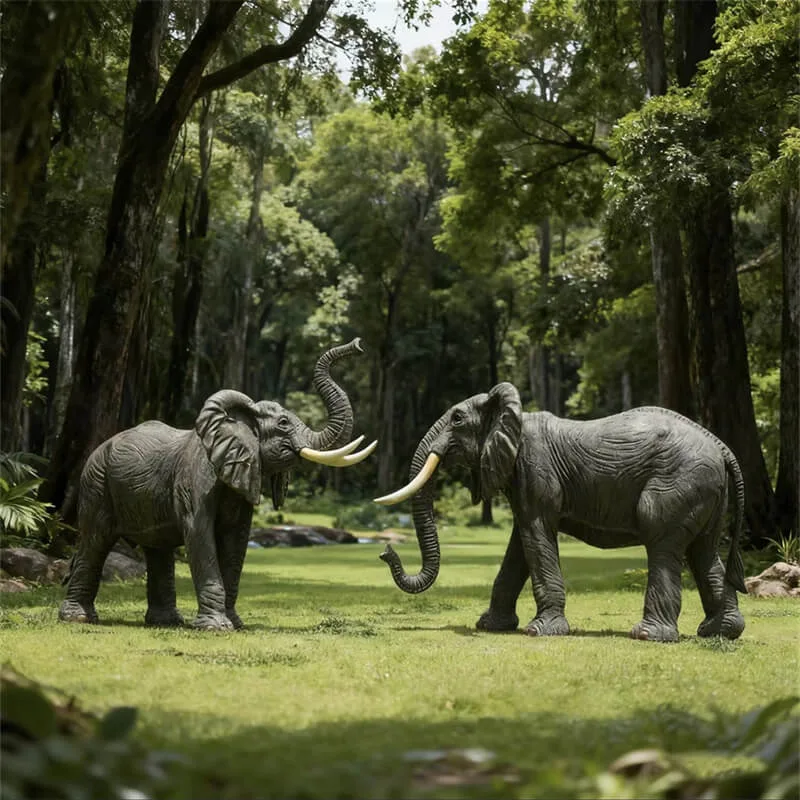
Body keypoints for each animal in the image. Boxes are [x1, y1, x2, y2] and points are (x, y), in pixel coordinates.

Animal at [59, 338, 376, 631]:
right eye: (284, 423)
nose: (358, 345)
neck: (237, 421)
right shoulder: (197, 478)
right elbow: (200, 533)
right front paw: (216, 628)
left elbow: (236, 539)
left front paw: (235, 624)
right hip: (96, 484)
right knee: (95, 541)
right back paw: (78, 619)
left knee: (157, 548)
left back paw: (166, 623)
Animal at [375, 382, 746, 643]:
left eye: (456, 419)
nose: (386, 551)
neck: (514, 414)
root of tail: (722, 448)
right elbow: (518, 546)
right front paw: (490, 626)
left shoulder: (535, 469)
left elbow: (534, 536)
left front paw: (538, 631)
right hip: (704, 491)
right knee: (705, 552)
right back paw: (719, 632)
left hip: (678, 484)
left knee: (663, 543)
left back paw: (647, 636)